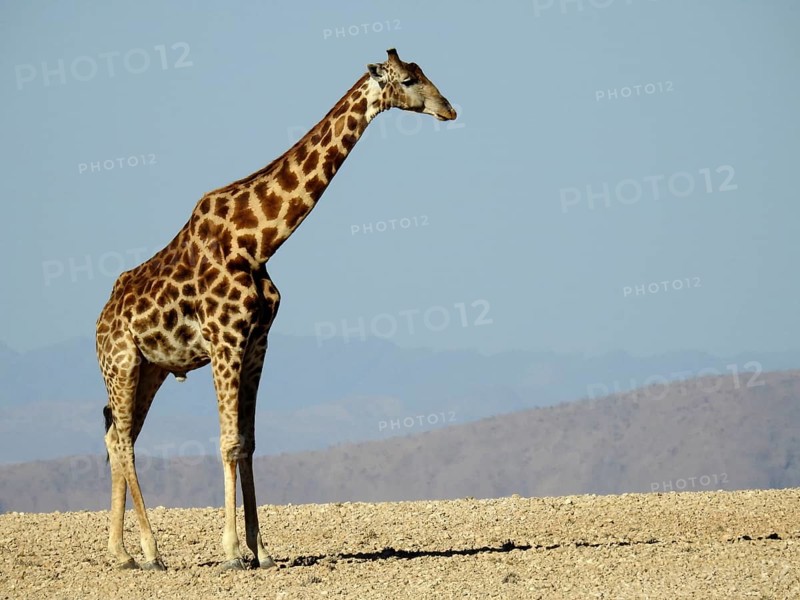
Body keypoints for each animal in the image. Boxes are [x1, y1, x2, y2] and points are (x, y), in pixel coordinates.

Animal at [95, 48, 456, 571]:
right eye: (408, 80)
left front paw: (261, 550)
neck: (257, 241)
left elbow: (248, 443)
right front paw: (231, 551)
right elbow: (228, 442)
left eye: (425, 73)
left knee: (117, 436)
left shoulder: (257, 343)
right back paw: (150, 551)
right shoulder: (225, 339)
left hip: (151, 369)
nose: (449, 109)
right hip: (121, 362)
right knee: (122, 439)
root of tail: (100, 319)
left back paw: (120, 553)